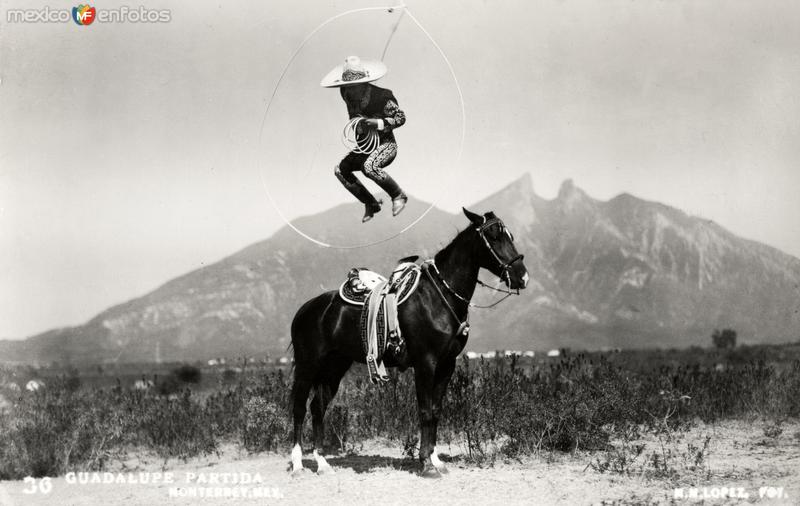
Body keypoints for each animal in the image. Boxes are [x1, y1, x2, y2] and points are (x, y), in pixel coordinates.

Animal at [290, 208, 528, 476]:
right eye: (494, 236)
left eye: (509, 235)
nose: (522, 276)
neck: (437, 298)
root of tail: (306, 309)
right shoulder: (425, 363)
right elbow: (424, 410)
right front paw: (426, 463)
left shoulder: (447, 365)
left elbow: (435, 411)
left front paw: (435, 460)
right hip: (308, 366)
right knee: (299, 408)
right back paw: (298, 464)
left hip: (334, 368)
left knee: (317, 408)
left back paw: (322, 463)